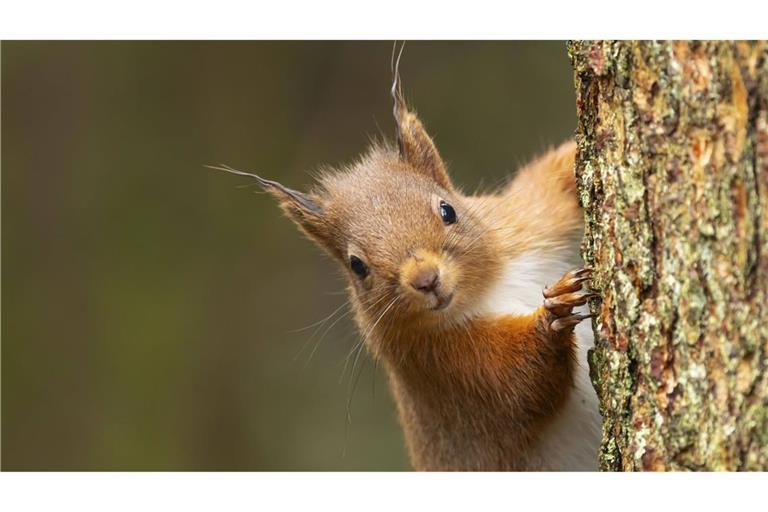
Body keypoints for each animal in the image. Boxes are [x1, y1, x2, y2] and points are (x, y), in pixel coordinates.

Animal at [213, 58, 604, 470]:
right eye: (356, 265)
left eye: (448, 210)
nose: (426, 278)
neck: (487, 288)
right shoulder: (436, 362)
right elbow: (521, 386)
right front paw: (554, 312)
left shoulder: (527, 218)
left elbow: (557, 179)